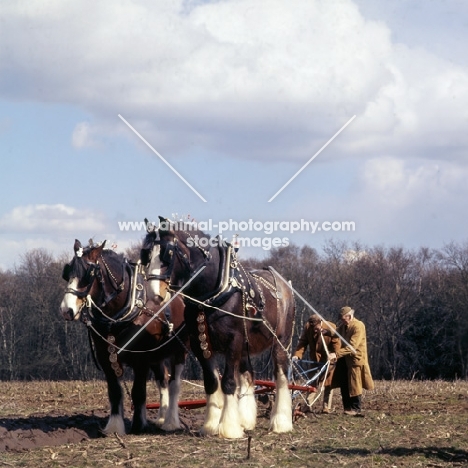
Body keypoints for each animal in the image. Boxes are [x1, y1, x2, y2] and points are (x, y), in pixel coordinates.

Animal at [59, 239, 187, 436]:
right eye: (67, 272)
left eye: (88, 274)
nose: (67, 310)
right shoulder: (107, 358)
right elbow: (115, 392)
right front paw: (114, 426)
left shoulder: (141, 359)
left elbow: (138, 392)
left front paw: (138, 426)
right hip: (156, 356)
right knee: (163, 380)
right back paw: (161, 417)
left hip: (178, 351)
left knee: (174, 383)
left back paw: (171, 422)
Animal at [141, 218, 296, 436]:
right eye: (146, 254)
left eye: (167, 254)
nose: (154, 294)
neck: (212, 293)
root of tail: (285, 284)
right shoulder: (201, 343)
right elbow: (212, 382)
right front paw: (212, 424)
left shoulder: (233, 341)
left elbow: (228, 382)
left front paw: (229, 428)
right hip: (246, 346)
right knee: (248, 375)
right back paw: (246, 420)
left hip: (281, 341)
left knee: (281, 376)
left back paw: (280, 422)